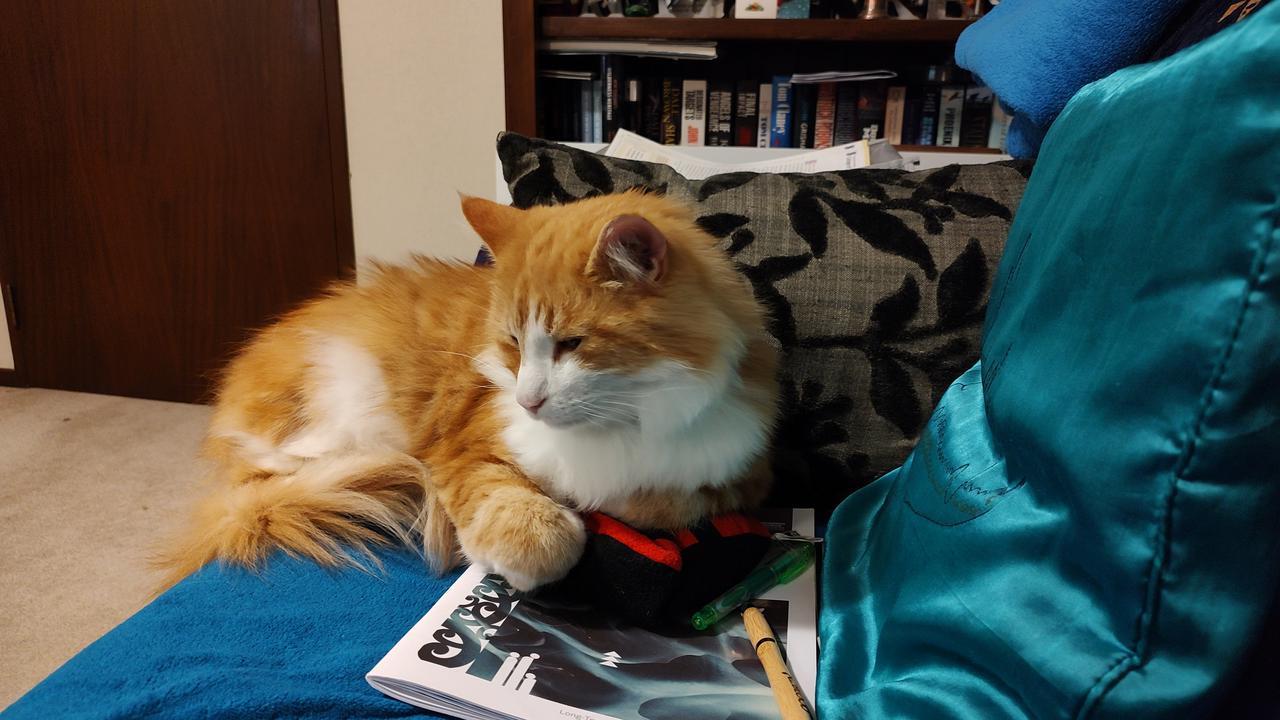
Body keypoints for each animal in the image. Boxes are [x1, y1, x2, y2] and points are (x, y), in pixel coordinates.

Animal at [158, 190, 779, 592]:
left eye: (571, 343)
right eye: (512, 342)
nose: (529, 401)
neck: (626, 424)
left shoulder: (743, 475)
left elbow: (666, 502)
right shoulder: (465, 447)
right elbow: (527, 524)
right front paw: (541, 535)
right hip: (335, 409)